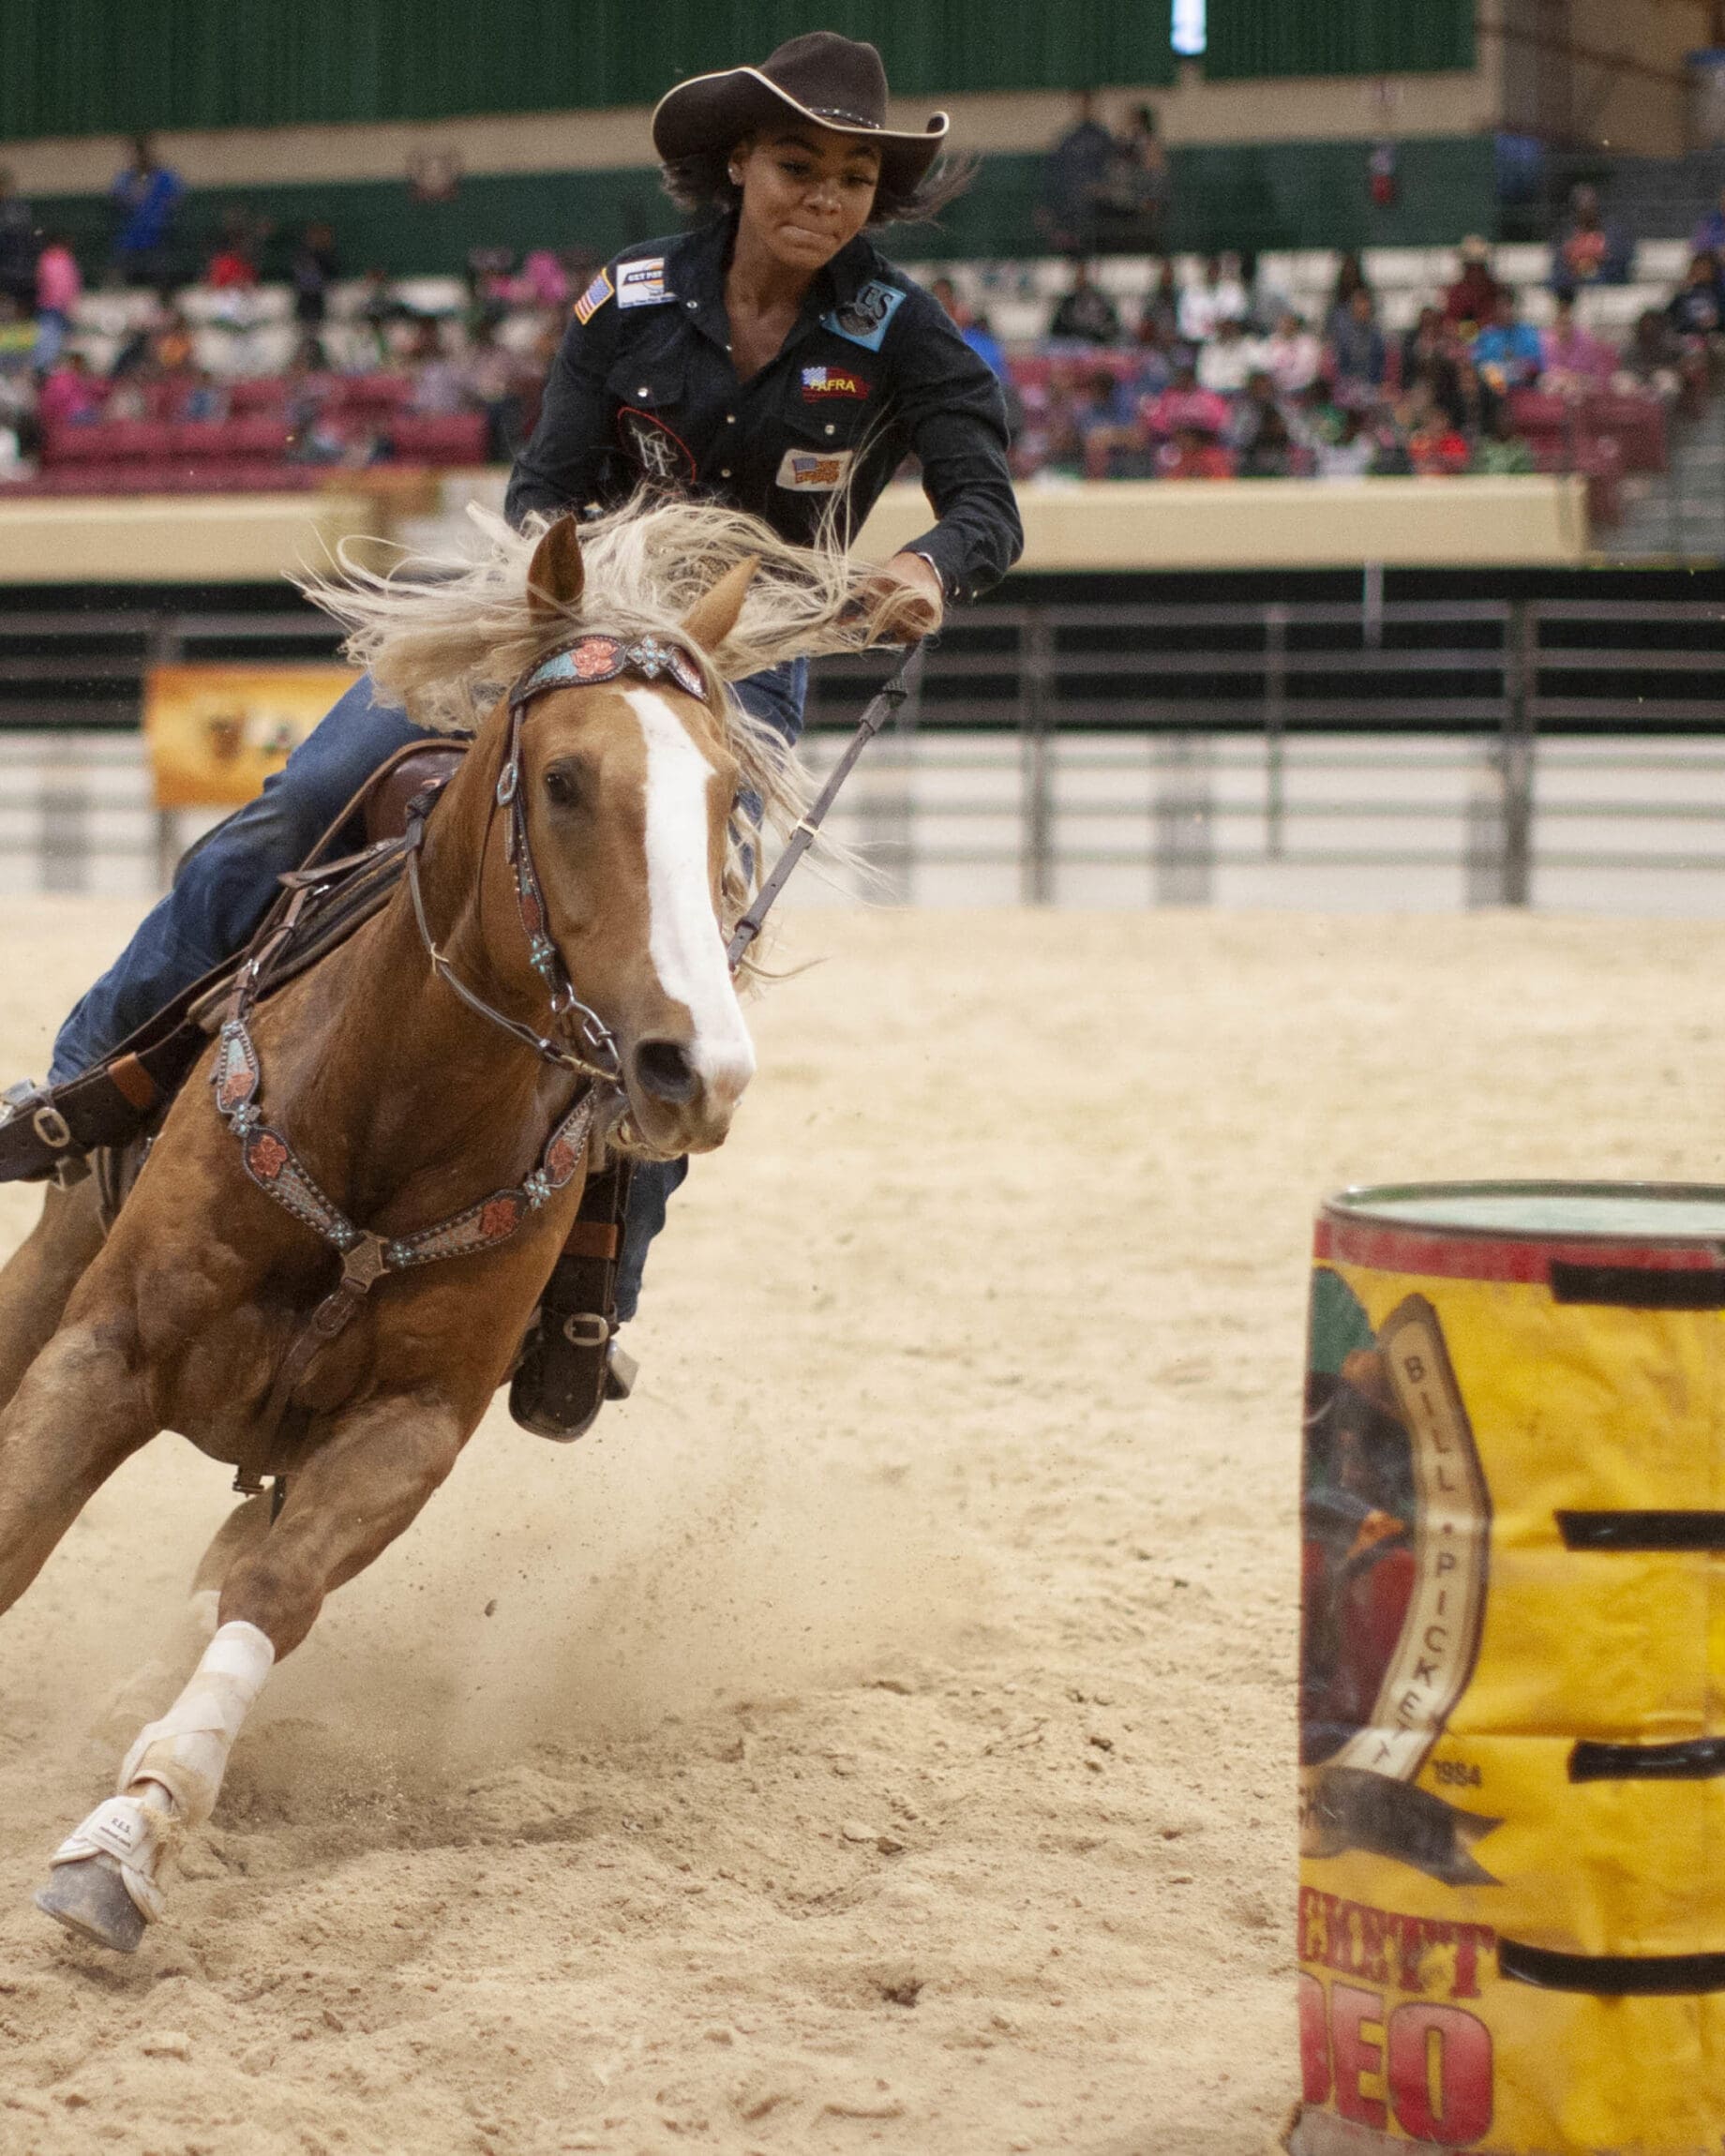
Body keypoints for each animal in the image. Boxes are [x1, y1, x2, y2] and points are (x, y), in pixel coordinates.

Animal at [0, 500, 896, 1957]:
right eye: (567, 781)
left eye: (729, 799)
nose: (694, 1068)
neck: (387, 1109)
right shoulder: (104, 1351)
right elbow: (15, 1526)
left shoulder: (409, 1429)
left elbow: (272, 1595)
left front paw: (126, 1838)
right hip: (61, 1243)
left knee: (229, 1564)